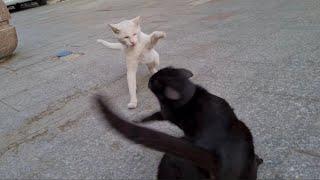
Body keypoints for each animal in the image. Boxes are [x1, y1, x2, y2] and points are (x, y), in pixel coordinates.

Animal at [94, 67, 262, 179]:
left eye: (154, 81)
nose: (149, 80)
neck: (189, 95)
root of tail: (216, 156)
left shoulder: (165, 114)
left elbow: (154, 115)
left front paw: (139, 119)